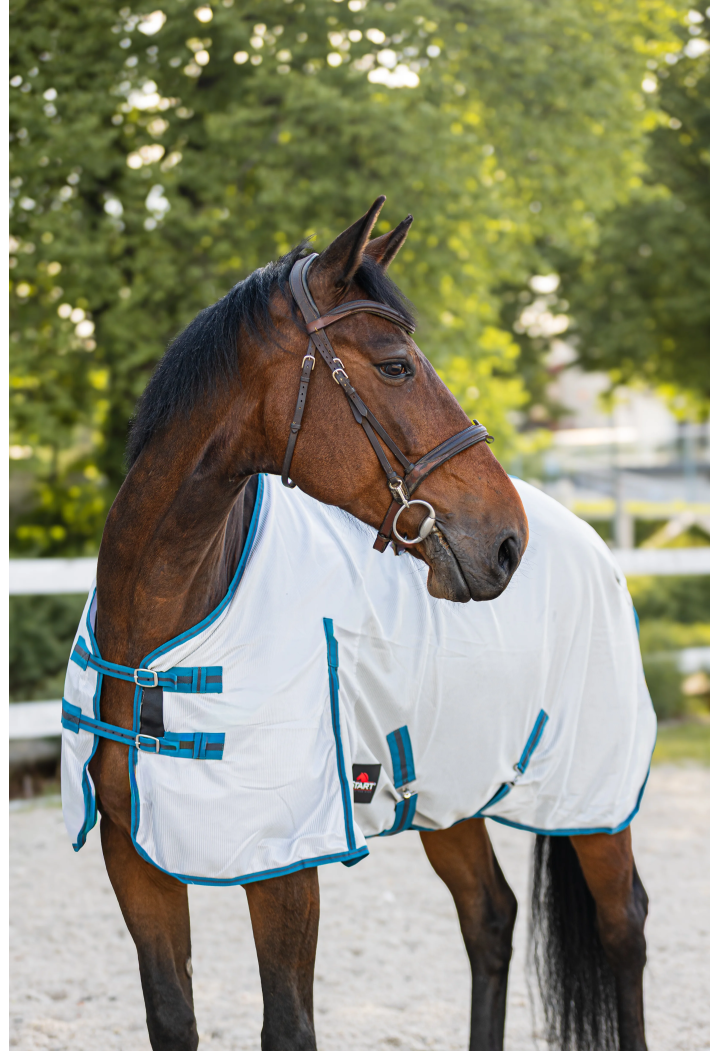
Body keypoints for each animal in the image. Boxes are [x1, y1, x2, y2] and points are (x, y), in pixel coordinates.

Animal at [64, 198, 650, 1050]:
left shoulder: (284, 866)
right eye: (397, 365)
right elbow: (172, 1019)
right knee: (490, 918)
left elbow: (288, 1025)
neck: (157, 639)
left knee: (621, 928)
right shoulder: (131, 855)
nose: (506, 540)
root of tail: (590, 542)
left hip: (593, 798)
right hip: (445, 789)